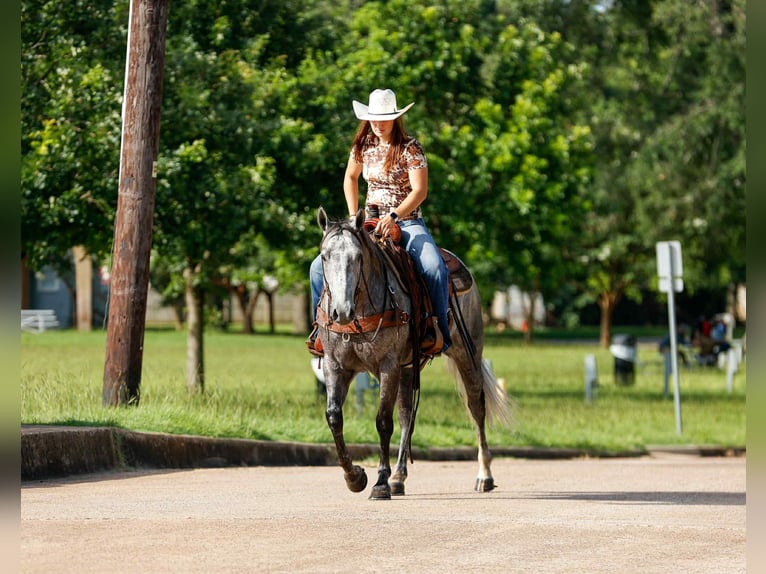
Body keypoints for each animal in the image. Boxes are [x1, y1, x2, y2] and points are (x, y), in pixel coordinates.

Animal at [315, 206, 511, 499]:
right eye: (325, 256)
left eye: (358, 257)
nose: (341, 311)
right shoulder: (335, 365)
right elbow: (334, 417)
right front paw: (355, 477)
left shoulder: (388, 365)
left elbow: (383, 421)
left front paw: (380, 482)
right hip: (407, 369)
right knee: (407, 415)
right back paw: (399, 477)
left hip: (467, 355)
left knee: (476, 407)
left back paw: (484, 476)